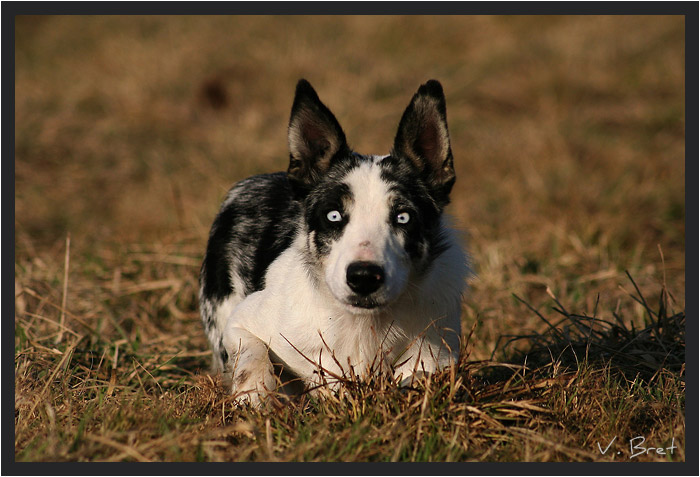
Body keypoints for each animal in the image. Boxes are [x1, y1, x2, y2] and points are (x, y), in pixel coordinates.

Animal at [198, 79, 470, 406]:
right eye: (333, 215)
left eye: (404, 217)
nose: (364, 277)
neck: (363, 325)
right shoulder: (241, 323)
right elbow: (253, 359)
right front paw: (255, 399)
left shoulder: (437, 352)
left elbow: (420, 377)